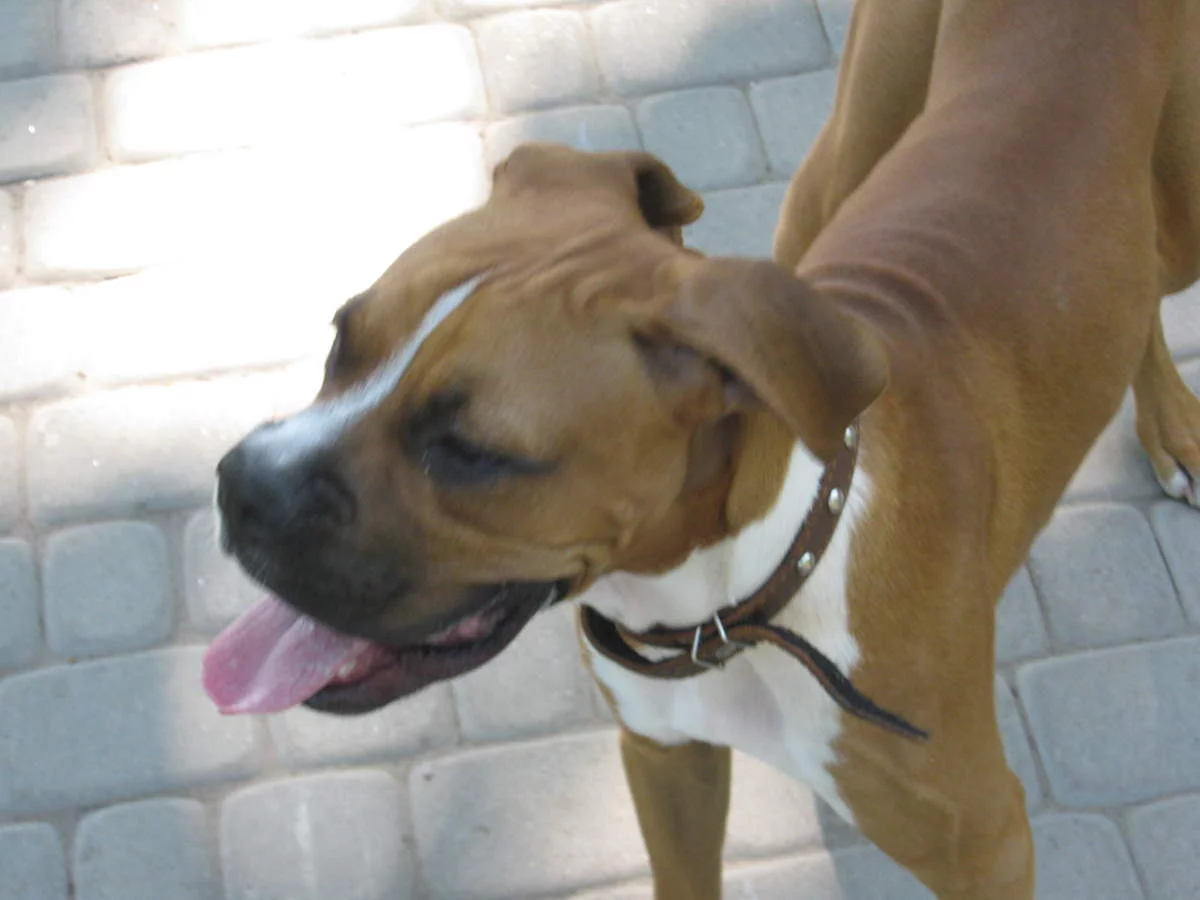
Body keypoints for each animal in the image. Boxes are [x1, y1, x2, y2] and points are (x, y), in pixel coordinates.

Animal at [203, 1, 1200, 896]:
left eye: (469, 451)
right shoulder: (663, 756)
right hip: (836, 167)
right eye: (343, 340)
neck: (742, 597)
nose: (241, 487)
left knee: (1154, 279)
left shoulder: (986, 847)